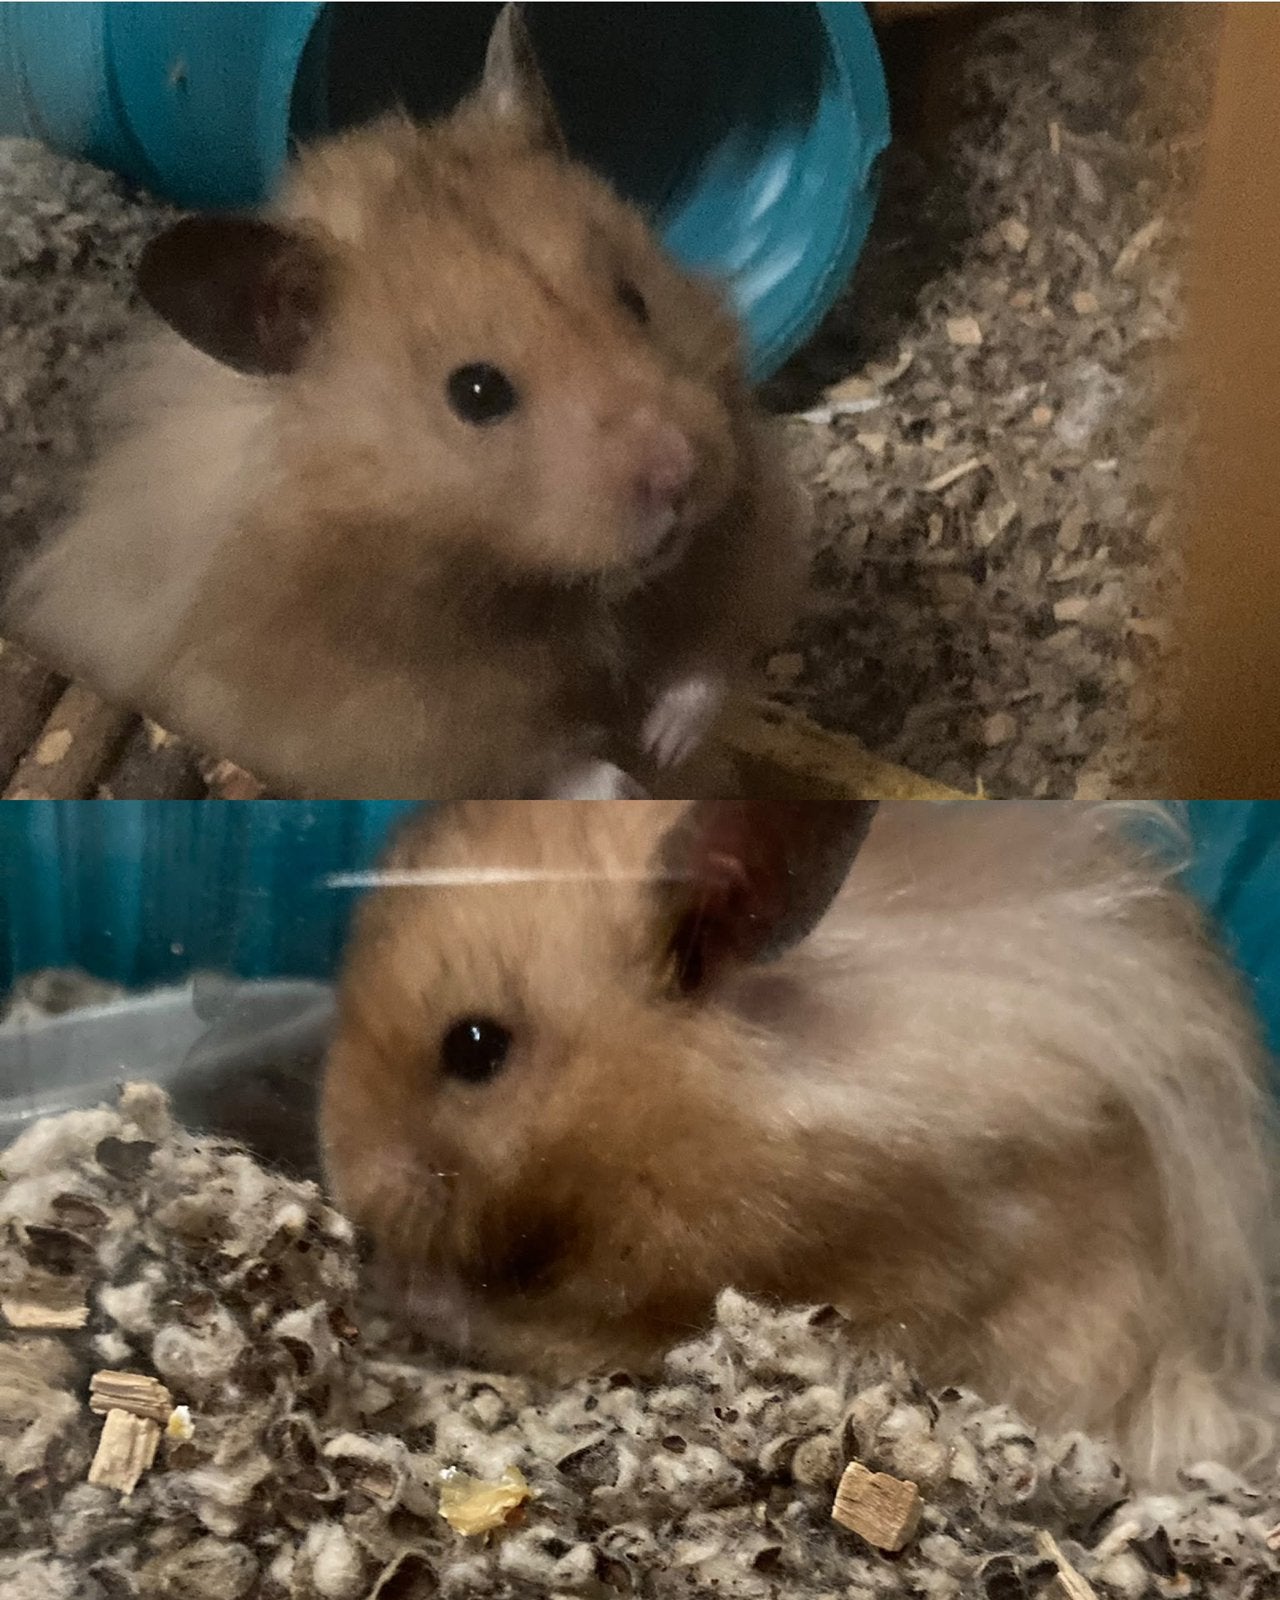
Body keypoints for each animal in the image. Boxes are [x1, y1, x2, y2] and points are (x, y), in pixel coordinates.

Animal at [4, 5, 804, 800]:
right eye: (476, 393)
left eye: (635, 299)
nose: (680, 474)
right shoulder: (377, 724)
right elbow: (537, 766)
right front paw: (627, 785)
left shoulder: (741, 546)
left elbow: (711, 658)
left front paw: (666, 741)